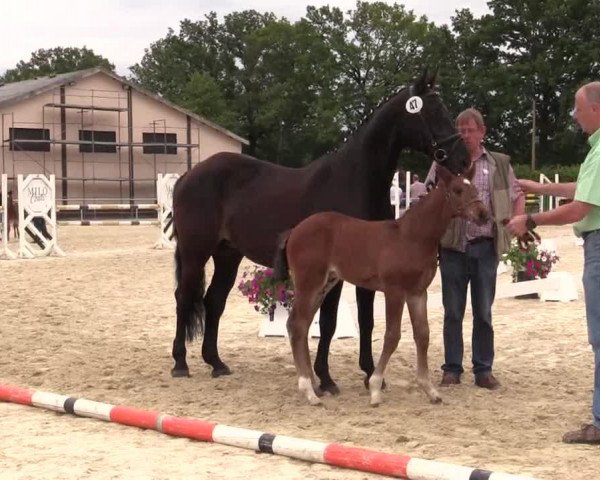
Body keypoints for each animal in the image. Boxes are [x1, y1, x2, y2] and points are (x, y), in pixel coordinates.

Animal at [276, 165, 488, 404]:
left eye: (475, 188)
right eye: (457, 190)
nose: (483, 214)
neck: (412, 236)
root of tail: (294, 230)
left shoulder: (417, 293)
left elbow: (422, 335)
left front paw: (430, 390)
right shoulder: (394, 292)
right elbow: (392, 336)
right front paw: (375, 388)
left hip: (324, 285)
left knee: (301, 325)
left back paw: (314, 386)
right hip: (308, 283)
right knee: (296, 325)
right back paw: (309, 392)